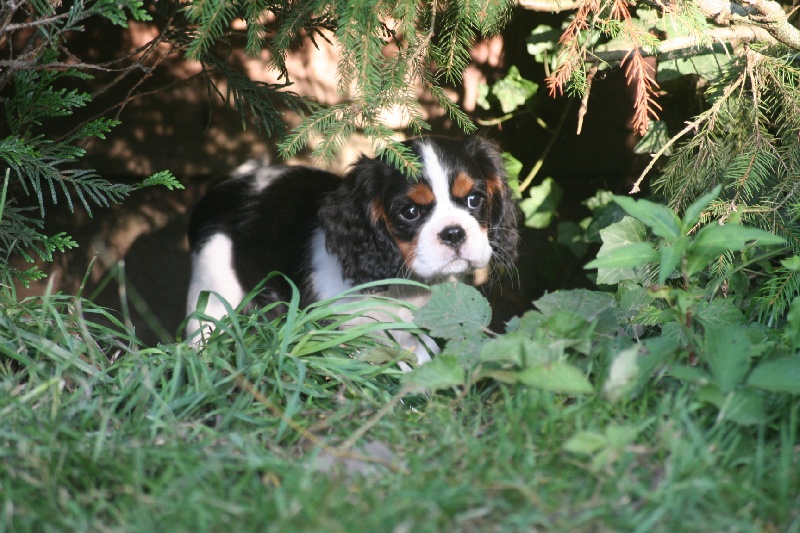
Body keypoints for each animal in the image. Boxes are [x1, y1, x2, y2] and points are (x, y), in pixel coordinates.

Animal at [184, 136, 520, 362]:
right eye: (410, 212)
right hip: (212, 289)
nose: (453, 233)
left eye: (475, 200)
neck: (401, 286)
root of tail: (228, 183)